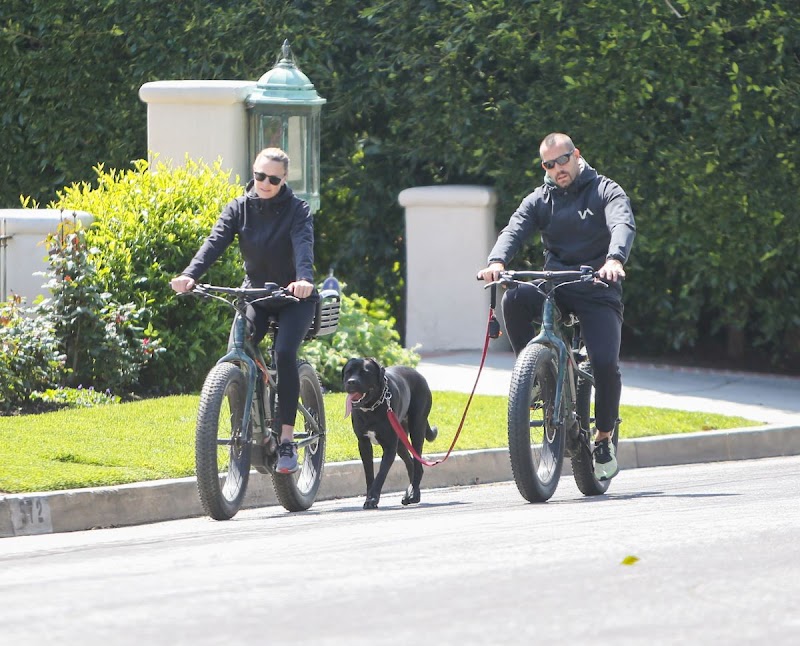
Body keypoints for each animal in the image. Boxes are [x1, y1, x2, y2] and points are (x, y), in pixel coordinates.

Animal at [342, 360, 438, 512]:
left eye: (365, 373)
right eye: (348, 372)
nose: (351, 382)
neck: (371, 407)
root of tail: (418, 374)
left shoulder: (389, 447)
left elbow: (381, 474)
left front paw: (373, 499)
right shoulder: (363, 444)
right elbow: (369, 474)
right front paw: (369, 497)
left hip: (416, 429)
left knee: (417, 463)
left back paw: (414, 495)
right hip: (401, 440)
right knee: (411, 463)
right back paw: (411, 493)